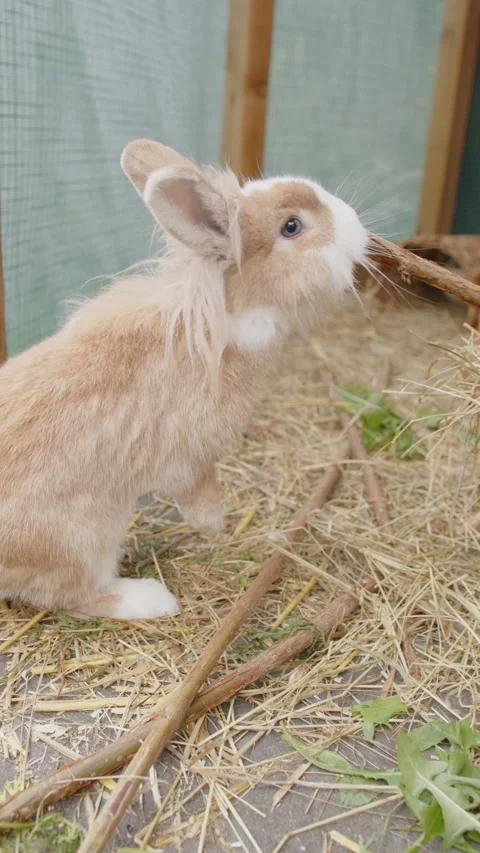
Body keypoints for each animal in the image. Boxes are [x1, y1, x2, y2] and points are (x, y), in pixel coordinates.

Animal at [0, 139, 367, 620]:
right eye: (292, 226)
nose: (358, 226)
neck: (224, 320)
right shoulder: (189, 458)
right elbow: (200, 496)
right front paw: (217, 527)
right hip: (81, 540)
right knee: (73, 594)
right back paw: (152, 598)